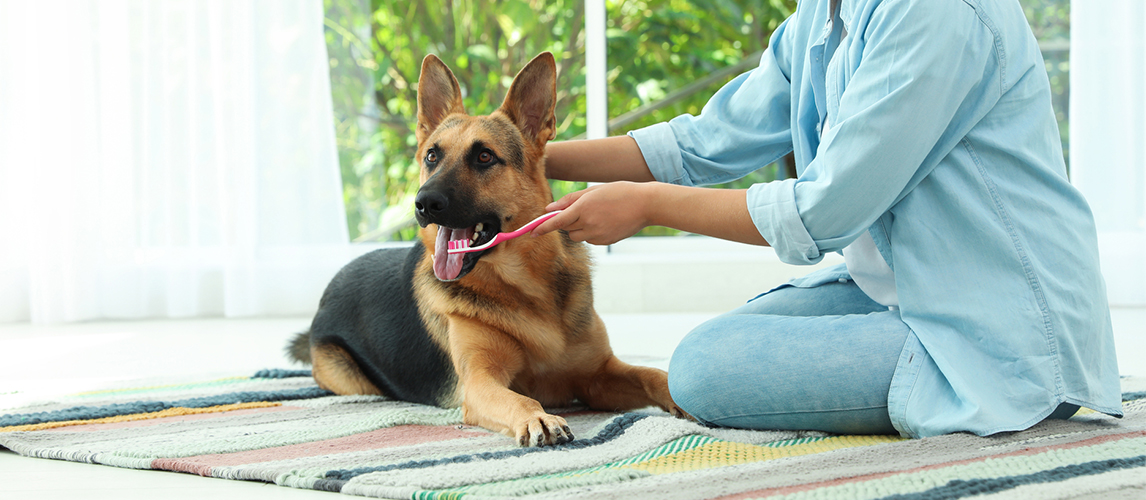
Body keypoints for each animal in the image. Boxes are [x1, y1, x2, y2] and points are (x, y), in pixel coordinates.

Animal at [288, 52, 678, 447]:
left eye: (485, 157)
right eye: (432, 156)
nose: (423, 203)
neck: (524, 285)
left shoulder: (598, 376)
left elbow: (654, 374)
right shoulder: (480, 383)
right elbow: (519, 398)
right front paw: (537, 417)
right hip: (350, 376)